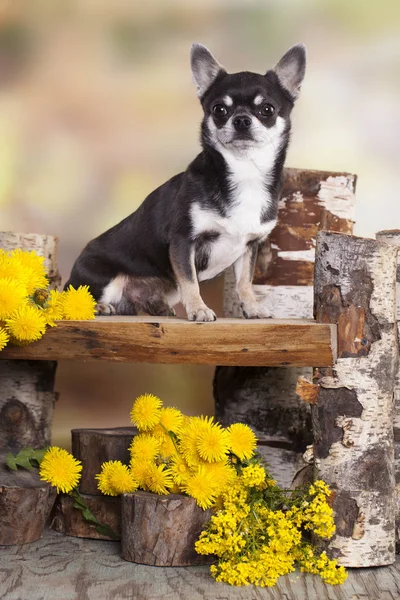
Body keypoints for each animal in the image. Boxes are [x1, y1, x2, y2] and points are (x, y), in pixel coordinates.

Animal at [65, 44, 306, 322]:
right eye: (219, 110)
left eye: (267, 109)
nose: (241, 120)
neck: (244, 172)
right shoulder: (183, 241)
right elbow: (190, 280)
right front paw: (199, 309)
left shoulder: (249, 247)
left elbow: (244, 281)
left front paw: (252, 307)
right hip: (103, 277)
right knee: (71, 298)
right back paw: (101, 307)